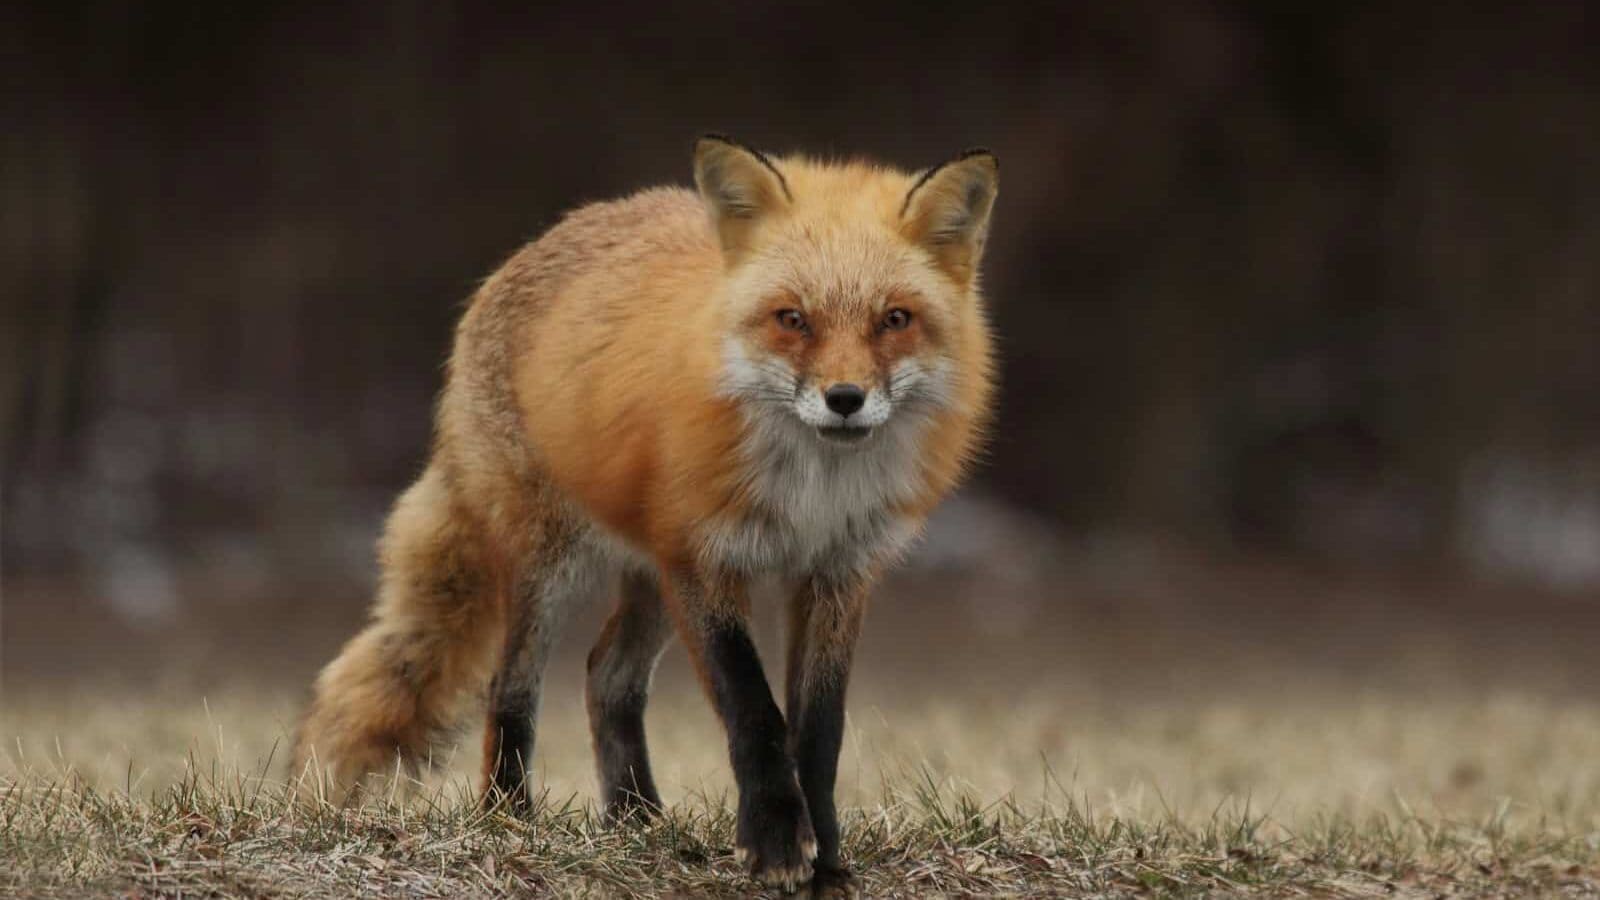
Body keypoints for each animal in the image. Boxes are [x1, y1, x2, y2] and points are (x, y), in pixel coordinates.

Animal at [290, 135, 998, 895]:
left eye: (895, 319)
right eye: (792, 319)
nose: (844, 398)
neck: (811, 492)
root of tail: (536, 244)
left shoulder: (837, 574)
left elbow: (818, 730)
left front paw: (827, 861)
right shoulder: (704, 559)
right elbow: (754, 709)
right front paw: (776, 843)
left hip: (652, 577)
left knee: (607, 676)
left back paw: (637, 821)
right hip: (555, 564)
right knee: (510, 688)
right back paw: (510, 818)